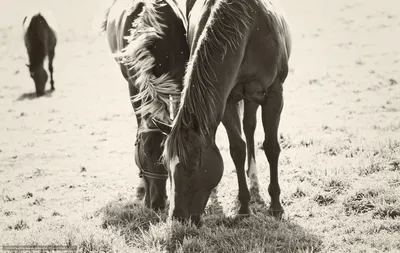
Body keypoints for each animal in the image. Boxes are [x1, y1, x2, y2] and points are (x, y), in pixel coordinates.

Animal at [153, 0, 290, 224]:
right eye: (166, 165)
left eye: (193, 166)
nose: (177, 218)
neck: (248, 28)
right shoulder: (228, 100)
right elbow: (237, 149)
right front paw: (244, 207)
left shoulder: (274, 94)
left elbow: (271, 147)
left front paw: (276, 206)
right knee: (247, 127)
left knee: (250, 127)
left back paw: (254, 177)